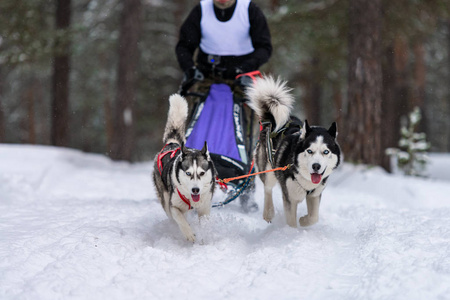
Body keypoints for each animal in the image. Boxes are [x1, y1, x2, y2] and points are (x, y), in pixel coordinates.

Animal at [153, 94, 216, 241]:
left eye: (202, 173)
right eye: (188, 173)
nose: (195, 190)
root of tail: (172, 144)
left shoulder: (204, 208)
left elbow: (203, 222)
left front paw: (203, 236)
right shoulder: (174, 206)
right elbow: (180, 219)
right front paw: (190, 234)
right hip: (165, 198)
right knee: (172, 216)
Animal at [246, 77, 342, 227]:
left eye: (326, 152)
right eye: (309, 151)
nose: (316, 166)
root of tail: (272, 122)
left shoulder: (315, 195)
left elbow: (314, 217)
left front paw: (304, 221)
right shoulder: (290, 197)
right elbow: (291, 221)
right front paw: (292, 231)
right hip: (268, 168)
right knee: (267, 188)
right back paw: (268, 212)